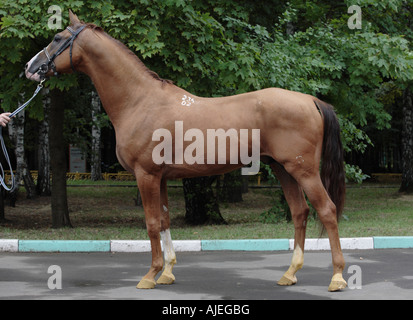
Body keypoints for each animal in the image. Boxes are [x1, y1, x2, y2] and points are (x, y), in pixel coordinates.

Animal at [25, 11, 346, 292]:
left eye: (56, 37)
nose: (30, 67)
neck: (139, 101)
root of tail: (312, 100)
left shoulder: (146, 175)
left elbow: (152, 223)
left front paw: (150, 275)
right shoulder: (162, 178)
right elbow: (165, 221)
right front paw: (167, 272)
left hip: (304, 171)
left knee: (327, 211)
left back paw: (337, 278)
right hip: (283, 169)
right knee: (300, 212)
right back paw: (290, 274)